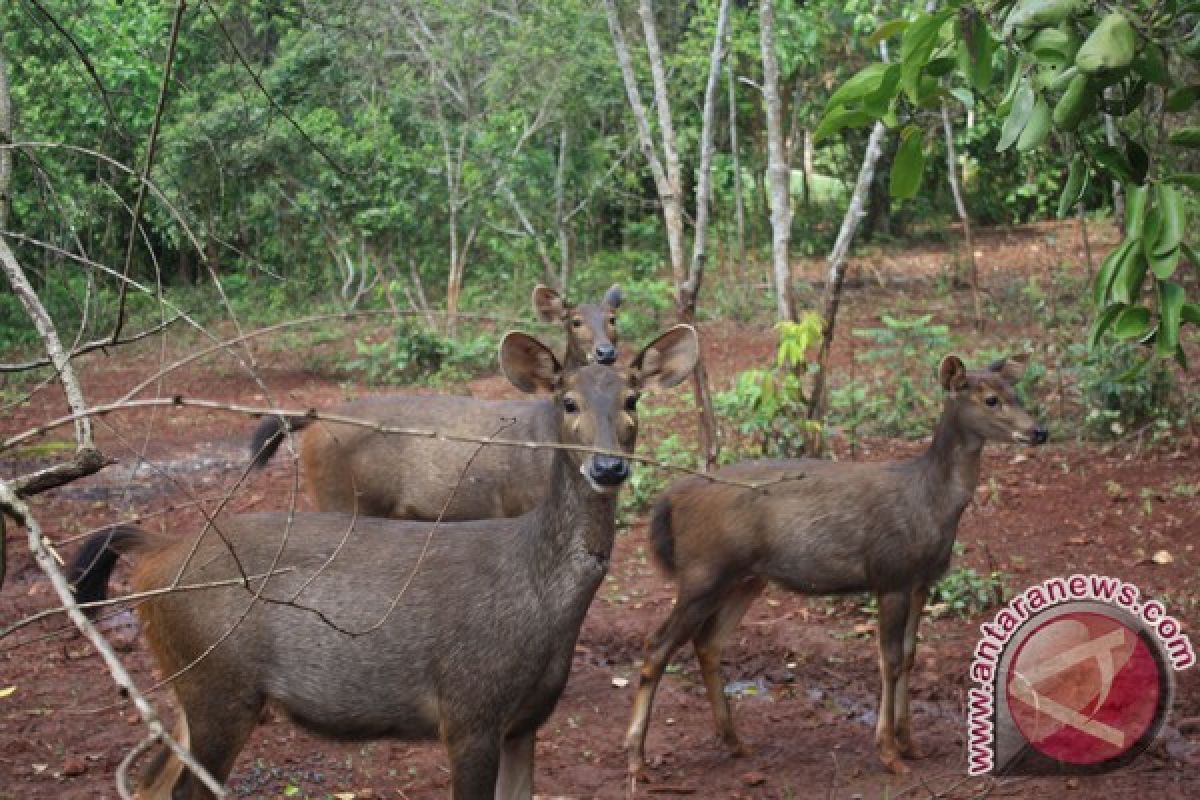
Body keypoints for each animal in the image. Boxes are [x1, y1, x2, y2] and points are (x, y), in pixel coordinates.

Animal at [65, 321, 700, 796]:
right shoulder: (468, 710)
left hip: (192, 685)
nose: (608, 467)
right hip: (217, 684)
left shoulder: (526, 721)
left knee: (149, 781)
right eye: (568, 402)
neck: (537, 597)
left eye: (633, 399)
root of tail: (155, 548)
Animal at [250, 284, 628, 522]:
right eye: (575, 321)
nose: (605, 352)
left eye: (613, 319)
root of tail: (316, 418)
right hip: (338, 499)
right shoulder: (522, 504)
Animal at [624, 355, 1046, 777]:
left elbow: (910, 656)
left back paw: (736, 742)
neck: (931, 503)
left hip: (744, 578)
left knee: (708, 642)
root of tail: (670, 498)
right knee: (657, 645)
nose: (1040, 431)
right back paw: (637, 758)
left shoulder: (922, 581)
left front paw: (911, 744)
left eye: (1016, 393)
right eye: (991, 399)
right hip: (703, 571)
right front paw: (889, 752)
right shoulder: (890, 574)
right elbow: (890, 660)